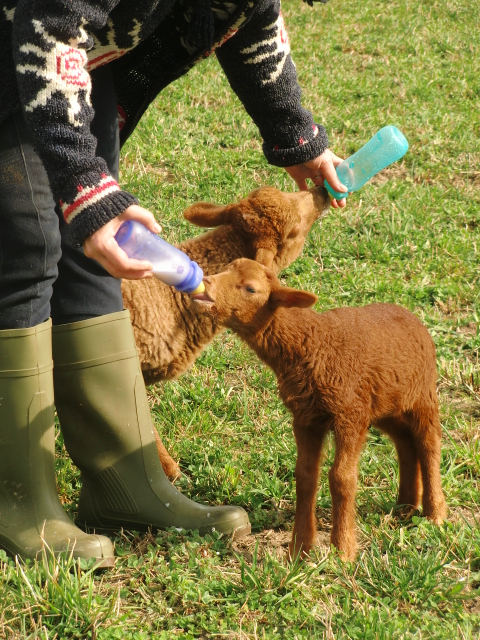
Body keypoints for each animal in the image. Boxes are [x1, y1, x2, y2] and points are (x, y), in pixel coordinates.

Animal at [190, 260, 446, 560]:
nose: (205, 282)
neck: (312, 344)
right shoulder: (306, 417)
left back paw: (435, 514)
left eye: (251, 289)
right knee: (405, 442)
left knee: (428, 444)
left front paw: (343, 550)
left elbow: (341, 478)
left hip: (422, 395)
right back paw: (405, 507)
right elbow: (305, 476)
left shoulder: (349, 413)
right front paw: (299, 550)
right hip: (387, 404)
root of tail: (411, 316)